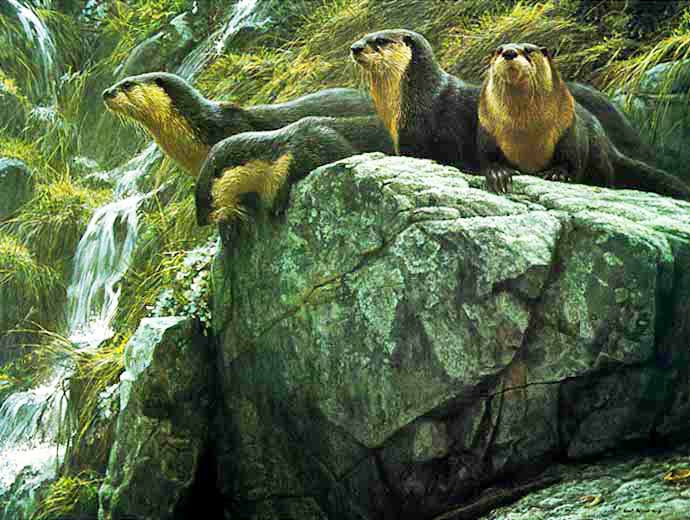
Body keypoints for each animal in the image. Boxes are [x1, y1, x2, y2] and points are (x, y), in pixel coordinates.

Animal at [351, 29, 656, 172]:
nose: (354, 47)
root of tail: (602, 135)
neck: (420, 98)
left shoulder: (422, 136)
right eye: (363, 36)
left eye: (380, 41)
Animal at [477, 42, 690, 199]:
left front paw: (557, 173)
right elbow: (487, 157)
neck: (525, 133)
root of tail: (608, 144)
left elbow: (572, 159)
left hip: (598, 153)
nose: (509, 52)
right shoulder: (487, 129)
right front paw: (498, 173)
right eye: (499, 50)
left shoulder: (568, 127)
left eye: (528, 50)